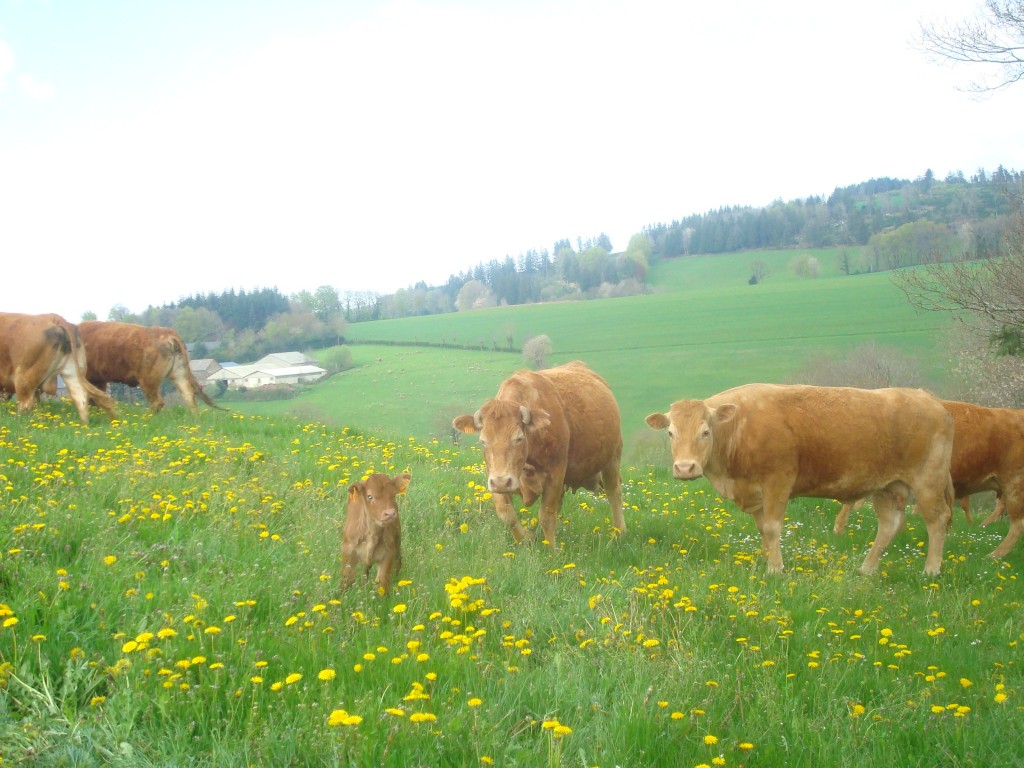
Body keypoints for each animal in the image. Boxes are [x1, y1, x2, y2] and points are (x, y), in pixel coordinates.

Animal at [78, 319, 224, 415]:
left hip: (148, 380)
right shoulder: (98, 379)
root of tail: (168, 332)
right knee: (189, 396)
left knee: (157, 402)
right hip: (179, 373)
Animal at [454, 360, 622, 548]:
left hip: (612, 458)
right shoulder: (495, 476)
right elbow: (506, 514)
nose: (502, 482)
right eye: (483, 441)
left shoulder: (555, 474)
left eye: (519, 438)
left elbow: (546, 516)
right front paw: (526, 538)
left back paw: (619, 533)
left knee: (614, 492)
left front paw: (554, 550)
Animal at [643, 385, 954, 577]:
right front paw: (769, 561)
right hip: (886, 487)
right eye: (670, 433)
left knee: (937, 520)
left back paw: (931, 570)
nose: (685, 467)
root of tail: (929, 399)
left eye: (705, 432)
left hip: (928, 480)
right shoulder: (755, 493)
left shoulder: (777, 482)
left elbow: (772, 528)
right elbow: (762, 530)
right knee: (889, 525)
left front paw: (775, 569)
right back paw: (867, 569)